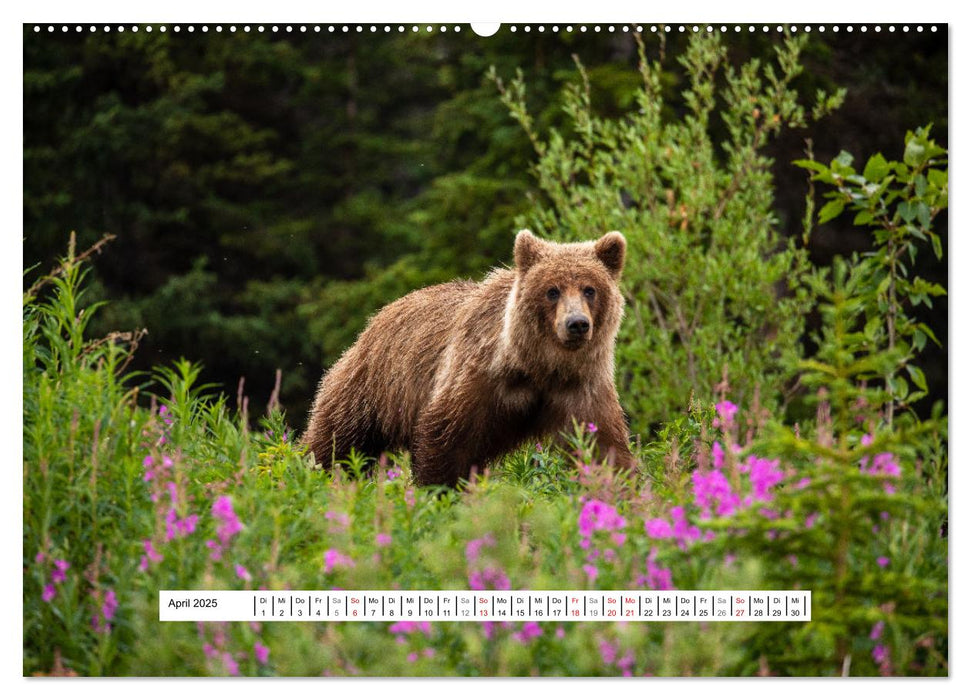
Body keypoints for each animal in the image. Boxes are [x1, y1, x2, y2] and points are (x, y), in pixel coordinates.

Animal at [306, 230, 636, 486]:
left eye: (590, 289)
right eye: (552, 290)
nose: (577, 323)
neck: (536, 367)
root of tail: (376, 318)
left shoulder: (580, 387)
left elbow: (603, 447)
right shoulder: (476, 379)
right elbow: (445, 442)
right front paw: (439, 493)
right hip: (371, 386)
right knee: (338, 439)